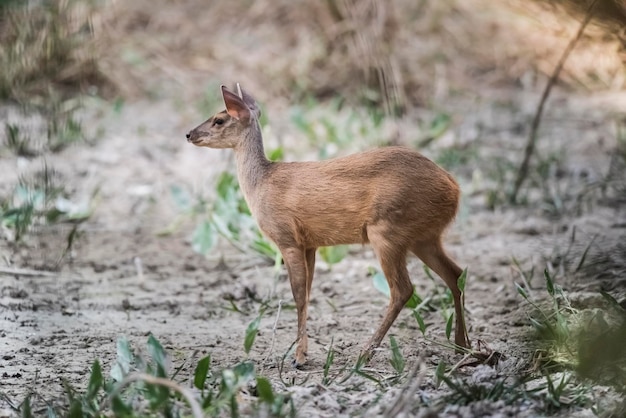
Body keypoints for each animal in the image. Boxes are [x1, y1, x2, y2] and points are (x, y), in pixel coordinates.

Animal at [185, 86, 468, 368]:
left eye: (219, 119)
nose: (189, 134)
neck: (261, 184)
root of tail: (454, 187)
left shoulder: (286, 238)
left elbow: (298, 295)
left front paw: (298, 357)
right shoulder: (310, 244)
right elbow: (309, 293)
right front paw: (303, 352)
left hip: (387, 230)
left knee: (403, 289)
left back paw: (365, 352)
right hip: (424, 237)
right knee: (455, 274)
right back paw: (461, 347)